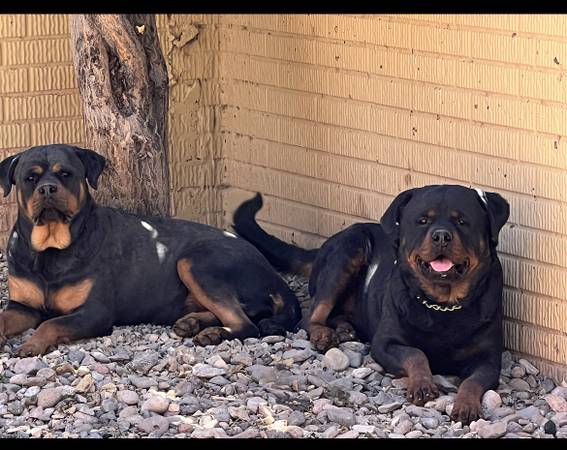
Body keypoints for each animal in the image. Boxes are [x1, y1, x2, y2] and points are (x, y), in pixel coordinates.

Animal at [0, 144, 302, 356]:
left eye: (65, 174)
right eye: (30, 178)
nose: (47, 189)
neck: (49, 252)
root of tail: (271, 273)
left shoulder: (95, 312)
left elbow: (51, 323)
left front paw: (32, 344)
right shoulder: (22, 306)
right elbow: (6, 318)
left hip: (196, 261)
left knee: (247, 324)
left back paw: (213, 334)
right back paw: (193, 323)